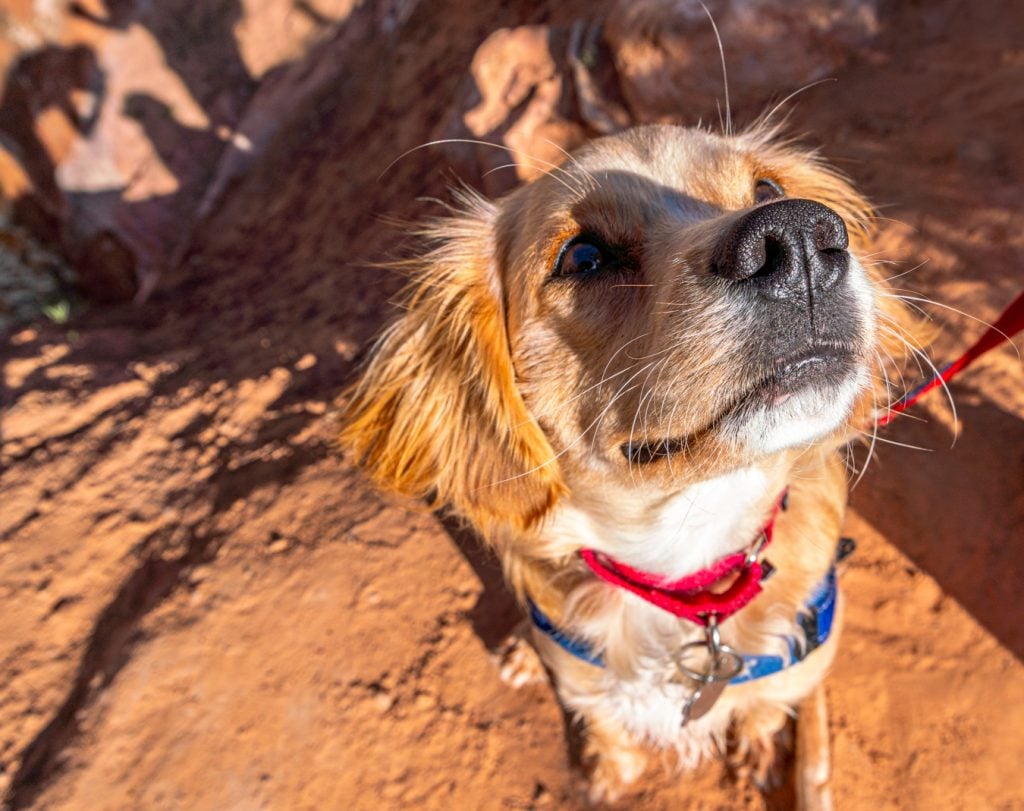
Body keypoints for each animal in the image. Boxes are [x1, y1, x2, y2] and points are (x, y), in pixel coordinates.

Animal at [339, 123, 917, 802]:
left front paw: (759, 746)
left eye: (768, 190)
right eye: (582, 257)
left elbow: (766, 704)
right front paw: (606, 775)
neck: (687, 562)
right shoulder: (588, 680)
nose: (799, 234)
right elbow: (605, 721)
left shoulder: (799, 661)